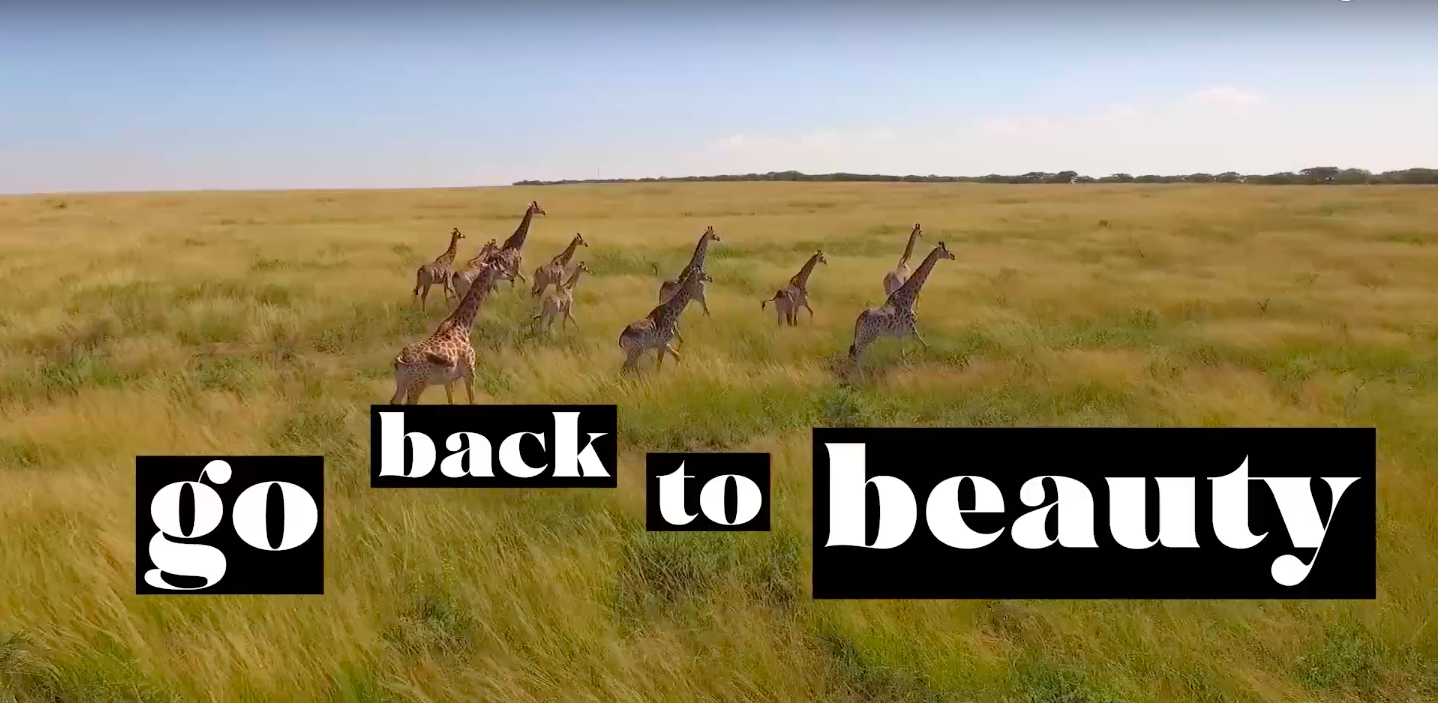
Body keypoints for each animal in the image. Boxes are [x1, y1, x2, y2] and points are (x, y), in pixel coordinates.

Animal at [389, 264, 505, 404]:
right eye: (500, 269)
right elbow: (472, 400)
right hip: (417, 383)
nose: (507, 274)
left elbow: (451, 400)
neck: (464, 326)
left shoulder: (449, 379)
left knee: (395, 400)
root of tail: (400, 357)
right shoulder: (470, 372)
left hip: (402, 381)